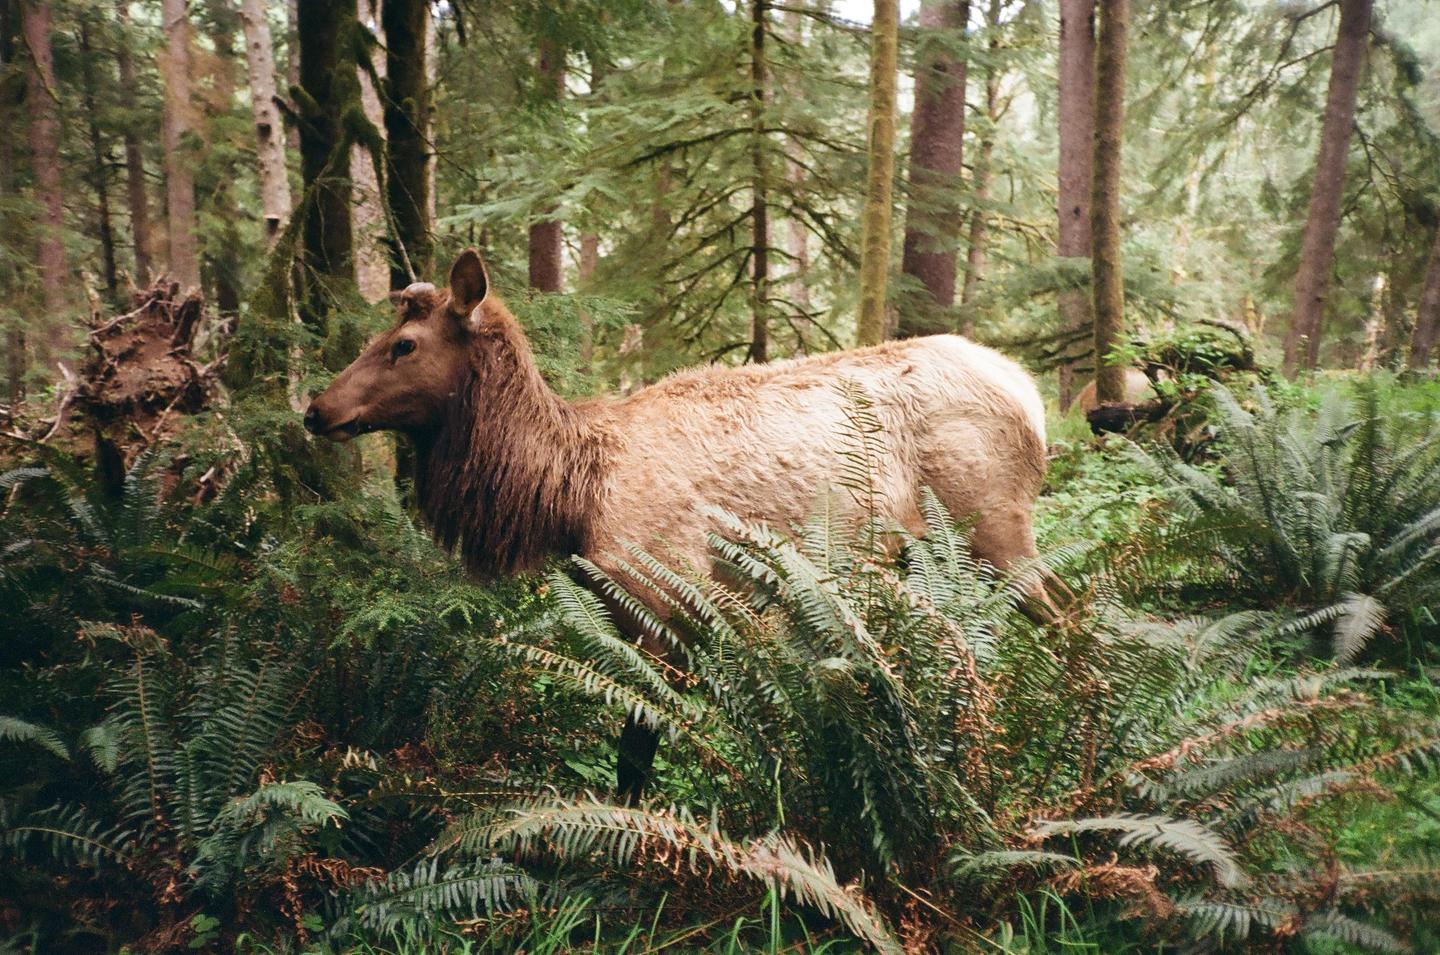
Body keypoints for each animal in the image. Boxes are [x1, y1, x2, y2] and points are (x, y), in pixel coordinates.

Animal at [304, 249, 1050, 801]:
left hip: (995, 530)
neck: (569, 496)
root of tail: (1032, 395)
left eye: (403, 344)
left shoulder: (665, 596)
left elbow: (637, 750)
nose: (316, 409)